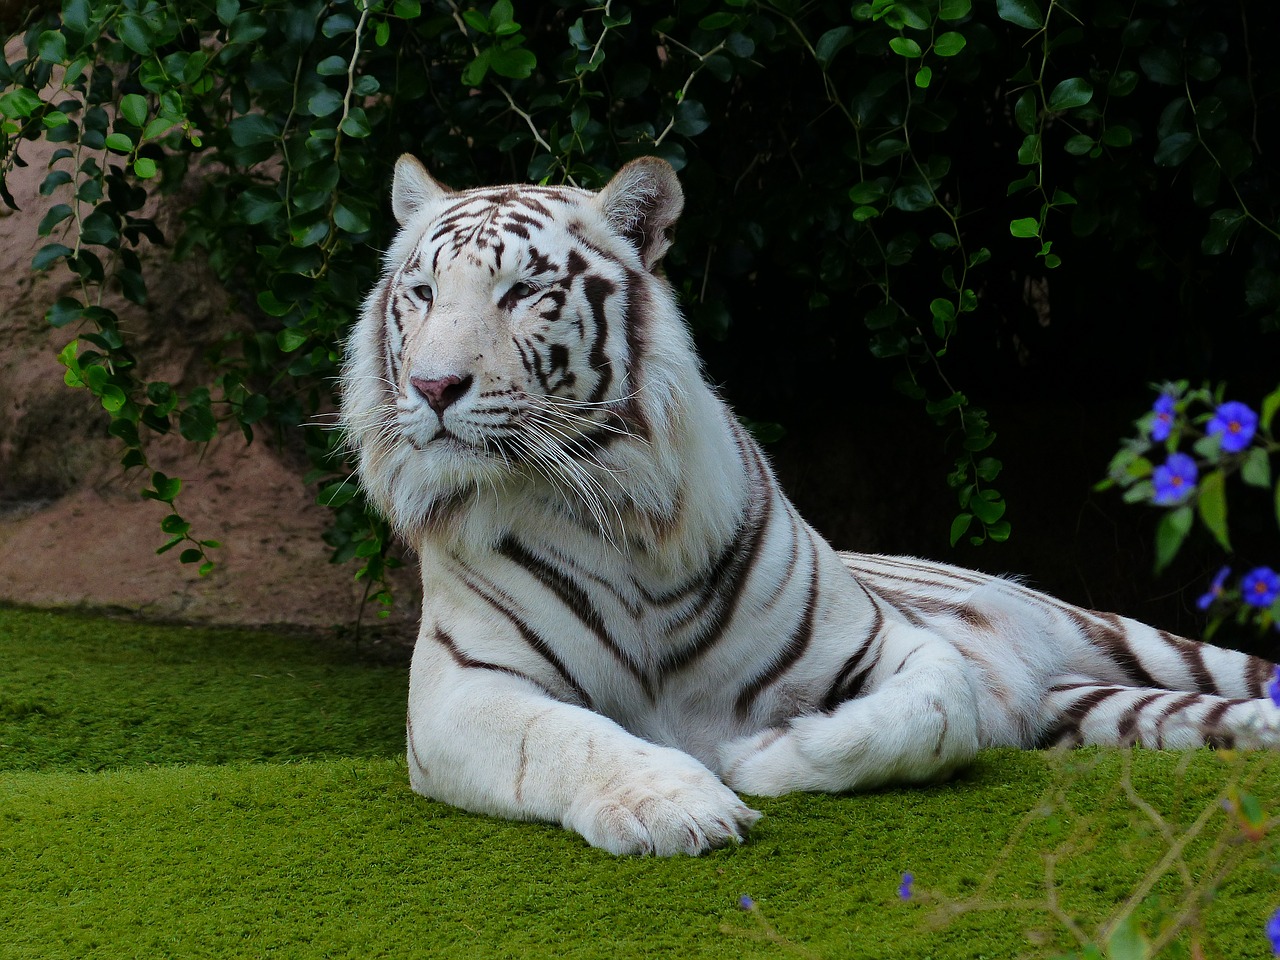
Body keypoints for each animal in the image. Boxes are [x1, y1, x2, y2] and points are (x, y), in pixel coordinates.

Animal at [339, 154, 1280, 856]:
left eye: (522, 294)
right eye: (422, 294)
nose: (432, 386)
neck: (616, 512)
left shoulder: (888, 641)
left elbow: (933, 714)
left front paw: (758, 757)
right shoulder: (459, 692)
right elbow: (570, 737)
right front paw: (678, 804)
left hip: (1123, 635)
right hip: (1096, 709)